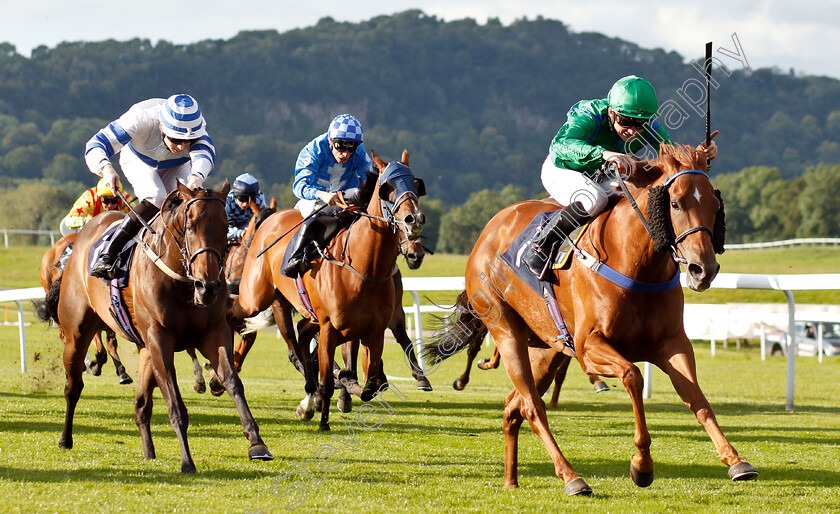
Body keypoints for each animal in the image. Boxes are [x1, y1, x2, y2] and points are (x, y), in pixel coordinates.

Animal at [231, 150, 424, 430]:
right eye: (387, 187)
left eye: (416, 185)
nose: (414, 219)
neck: (366, 270)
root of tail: (271, 220)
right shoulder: (330, 327)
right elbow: (332, 379)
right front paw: (325, 417)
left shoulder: (373, 329)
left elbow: (370, 385)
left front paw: (339, 388)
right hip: (256, 297)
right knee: (233, 315)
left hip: (299, 310)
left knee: (301, 335)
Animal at [424, 141, 756, 492]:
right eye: (676, 203)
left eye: (715, 204)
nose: (702, 269)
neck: (637, 265)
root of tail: (488, 231)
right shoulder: (588, 347)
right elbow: (633, 377)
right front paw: (642, 464)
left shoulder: (672, 344)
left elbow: (696, 396)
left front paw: (735, 460)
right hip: (506, 329)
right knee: (532, 406)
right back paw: (571, 476)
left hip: (546, 349)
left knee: (513, 406)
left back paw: (511, 481)